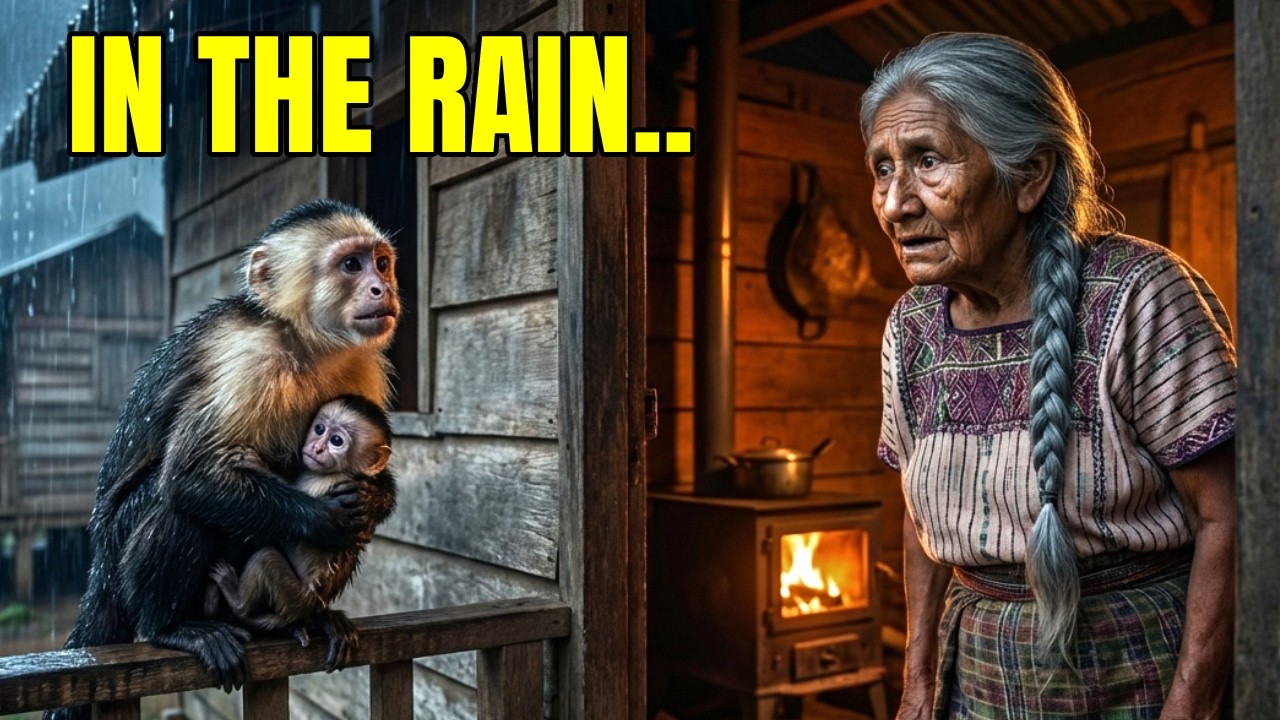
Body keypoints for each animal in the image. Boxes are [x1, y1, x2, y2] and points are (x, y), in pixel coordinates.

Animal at [205, 395, 394, 666]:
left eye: (337, 441)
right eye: (319, 429)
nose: (317, 448)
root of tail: (308, 606)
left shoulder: (325, 483)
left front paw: (256, 464)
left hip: (293, 595)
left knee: (266, 558)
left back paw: (235, 597)